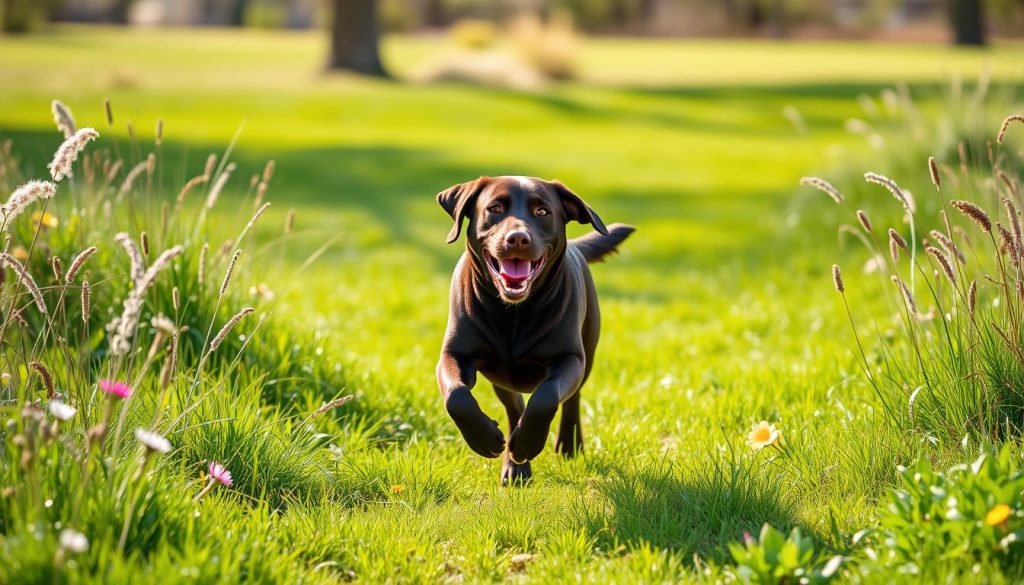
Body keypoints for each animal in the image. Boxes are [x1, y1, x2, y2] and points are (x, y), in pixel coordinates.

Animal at [434, 175, 630, 485]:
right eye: (494, 208)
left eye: (542, 212)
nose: (517, 238)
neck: (514, 313)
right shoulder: (453, 356)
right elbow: (457, 396)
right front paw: (486, 440)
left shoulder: (570, 359)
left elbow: (546, 397)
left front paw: (528, 443)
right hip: (500, 377)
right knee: (513, 405)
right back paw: (516, 466)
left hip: (587, 355)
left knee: (572, 398)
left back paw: (567, 445)